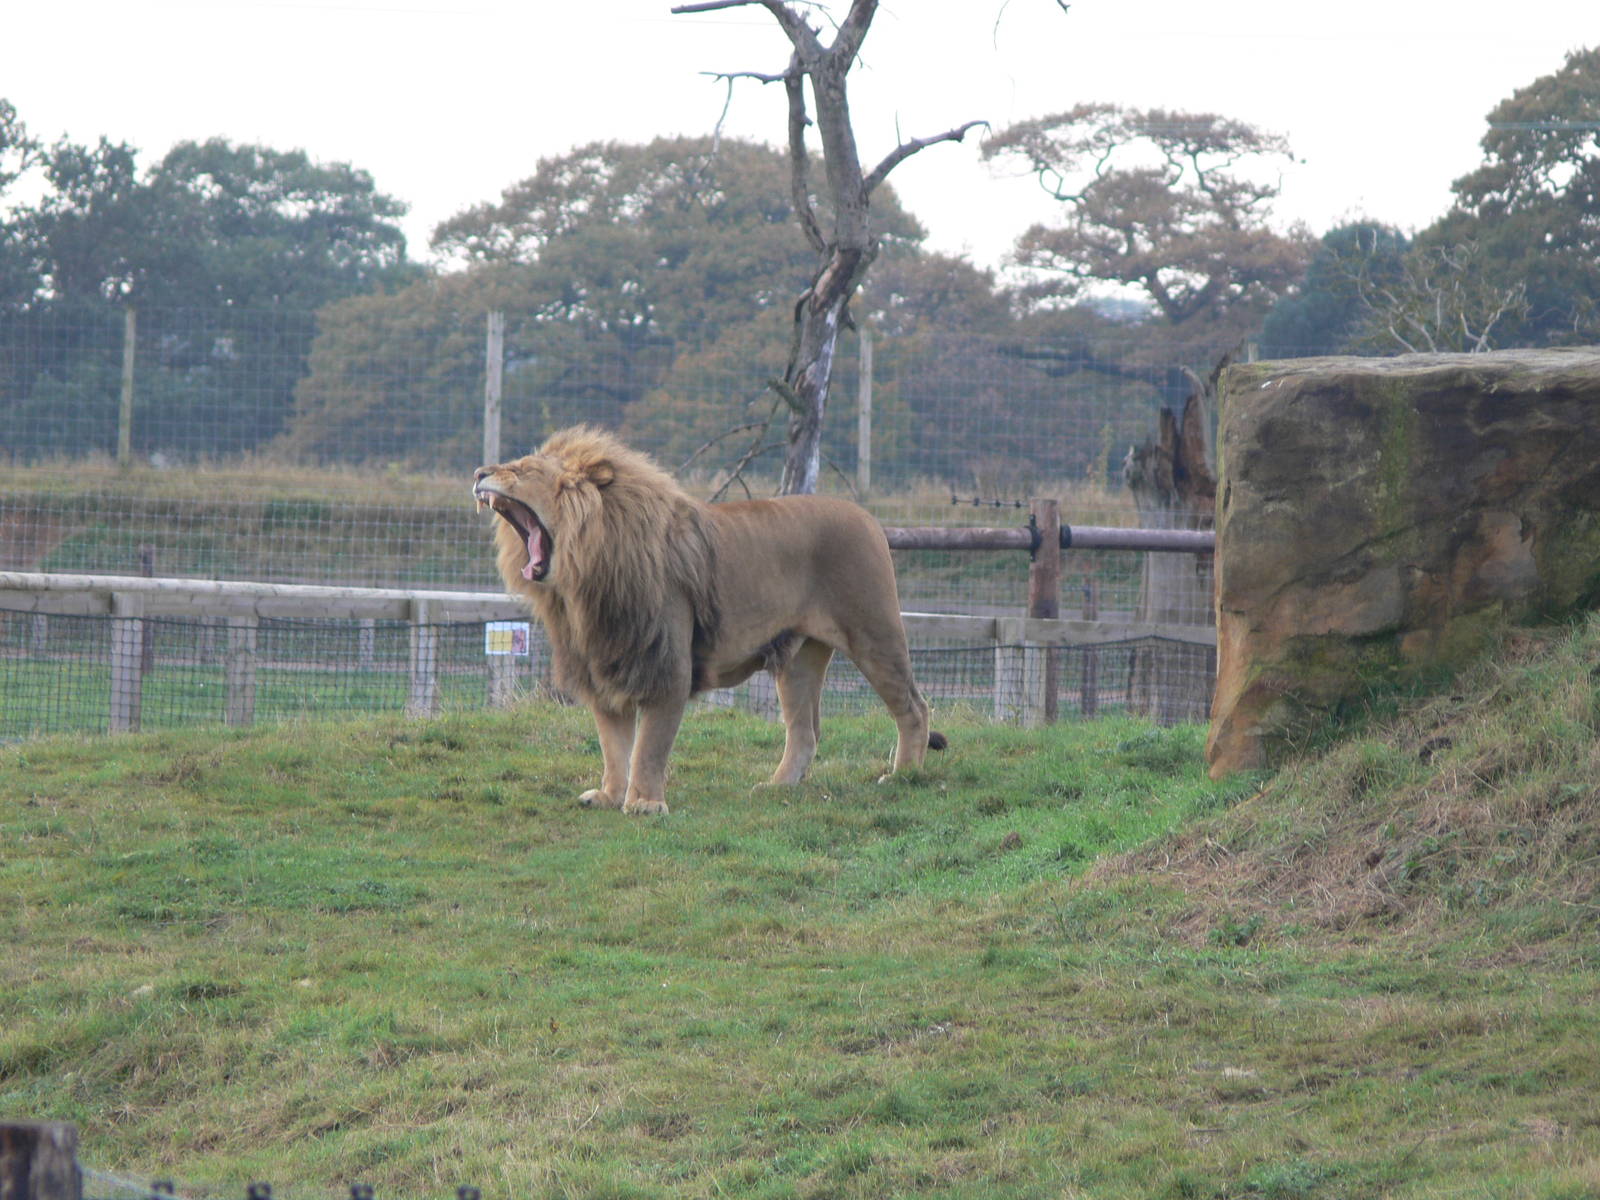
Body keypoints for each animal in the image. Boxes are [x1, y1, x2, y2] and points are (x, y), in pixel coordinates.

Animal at [472, 426, 945, 814]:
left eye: (523, 469)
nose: (479, 472)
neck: (582, 582)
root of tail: (868, 517)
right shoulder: (604, 667)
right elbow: (614, 746)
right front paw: (609, 795)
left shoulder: (666, 667)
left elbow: (649, 746)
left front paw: (644, 803)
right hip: (798, 660)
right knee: (804, 732)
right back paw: (778, 787)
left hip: (873, 631)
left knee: (913, 708)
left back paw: (904, 775)